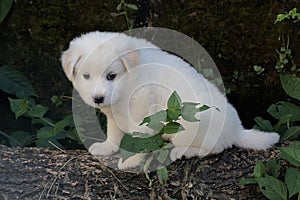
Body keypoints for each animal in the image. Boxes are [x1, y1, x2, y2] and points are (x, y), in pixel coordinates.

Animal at [60, 31, 278, 169]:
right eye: (86, 76)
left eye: (111, 76)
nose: (98, 98)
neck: (129, 78)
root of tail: (236, 130)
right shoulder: (114, 113)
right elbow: (113, 132)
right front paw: (107, 147)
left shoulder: (141, 115)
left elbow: (137, 140)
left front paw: (130, 162)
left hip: (193, 124)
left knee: (213, 148)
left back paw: (182, 151)